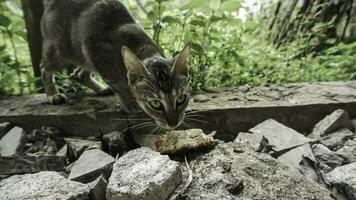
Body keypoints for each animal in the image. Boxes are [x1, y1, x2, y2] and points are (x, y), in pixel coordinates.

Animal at [40, 0, 191, 129]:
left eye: (181, 99)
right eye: (155, 104)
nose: (174, 123)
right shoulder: (97, 55)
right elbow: (119, 86)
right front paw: (129, 102)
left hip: (83, 57)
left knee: (78, 73)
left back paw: (100, 89)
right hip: (61, 52)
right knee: (44, 68)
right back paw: (53, 95)